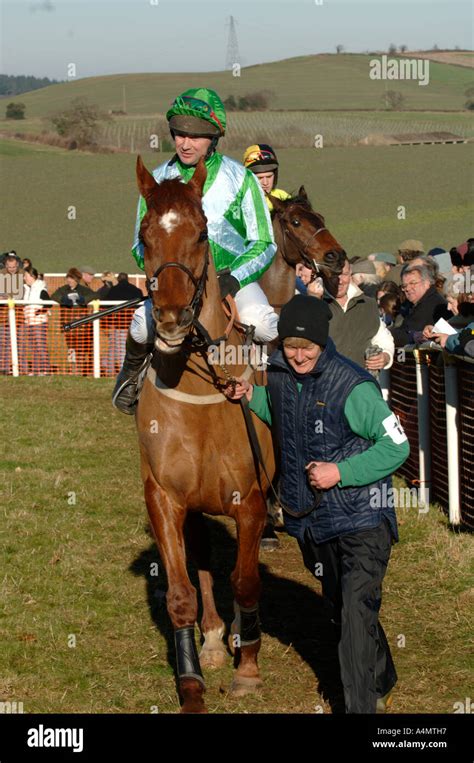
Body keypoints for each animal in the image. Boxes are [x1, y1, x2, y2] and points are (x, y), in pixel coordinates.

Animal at [133, 155, 274, 716]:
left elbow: (247, 580)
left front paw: (249, 666)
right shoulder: (165, 497)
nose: (172, 318)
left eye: (200, 233)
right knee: (206, 568)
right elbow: (181, 594)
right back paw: (215, 638)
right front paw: (191, 682)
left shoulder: (251, 499)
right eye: (145, 235)